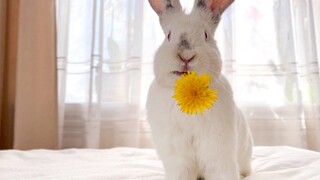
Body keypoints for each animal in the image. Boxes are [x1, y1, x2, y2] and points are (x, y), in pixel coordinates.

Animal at [146, 0, 254, 179]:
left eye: (205, 35)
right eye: (168, 36)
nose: (186, 56)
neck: (189, 91)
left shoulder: (218, 151)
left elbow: (221, 171)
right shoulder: (177, 157)